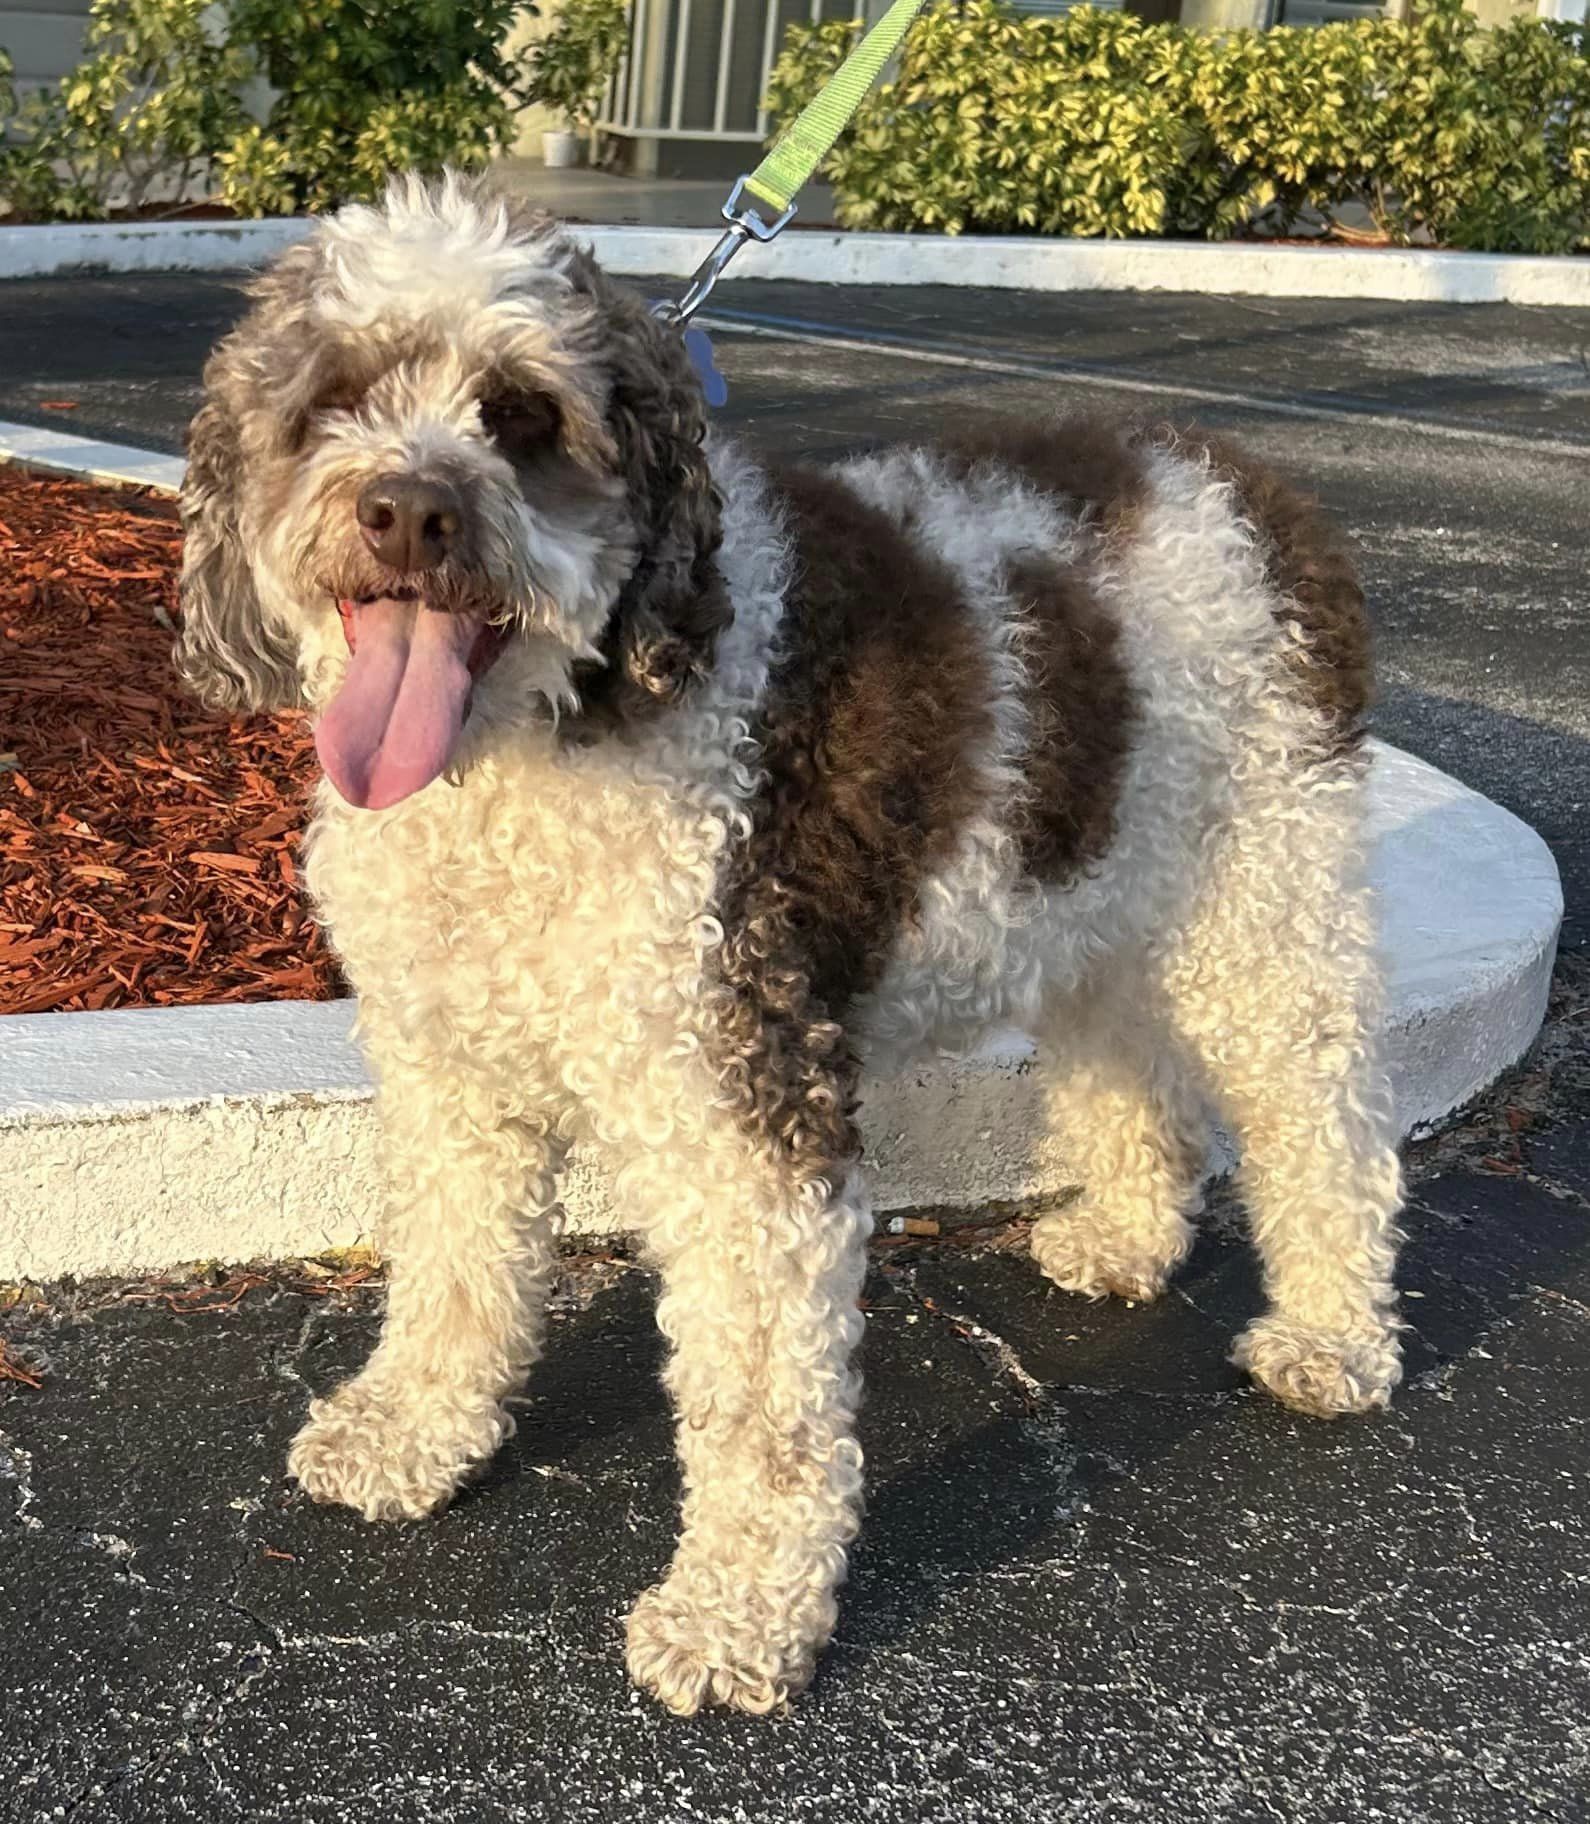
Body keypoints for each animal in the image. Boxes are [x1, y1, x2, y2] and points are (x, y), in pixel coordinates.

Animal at [180, 177, 1400, 1714]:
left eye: (521, 416)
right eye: (331, 402)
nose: (408, 510)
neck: (549, 732)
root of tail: (1248, 484)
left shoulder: (742, 1103)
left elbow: (762, 1407)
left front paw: (735, 1618)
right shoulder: (455, 1070)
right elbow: (456, 1269)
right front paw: (412, 1431)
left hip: (1263, 895)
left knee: (1325, 1122)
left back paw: (1334, 1335)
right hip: (1100, 881)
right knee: (1134, 1063)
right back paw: (1125, 1236)